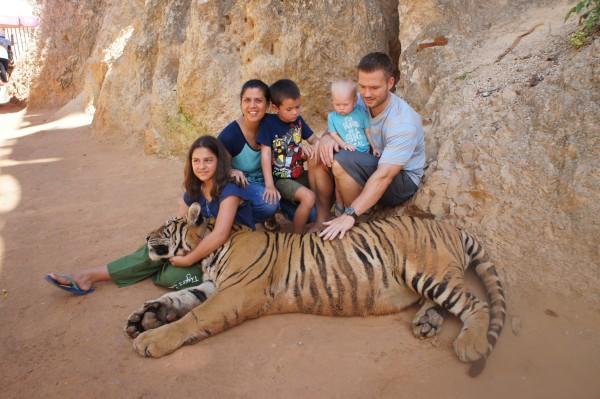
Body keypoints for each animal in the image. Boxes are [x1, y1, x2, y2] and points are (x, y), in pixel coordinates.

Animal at [126, 203, 506, 378]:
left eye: (166, 226)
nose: (145, 236)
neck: (211, 250)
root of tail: (451, 226)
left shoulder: (235, 292)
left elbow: (193, 317)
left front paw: (150, 339)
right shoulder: (214, 285)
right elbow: (178, 298)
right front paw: (144, 318)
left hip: (431, 273)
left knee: (476, 304)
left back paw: (469, 344)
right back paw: (426, 321)